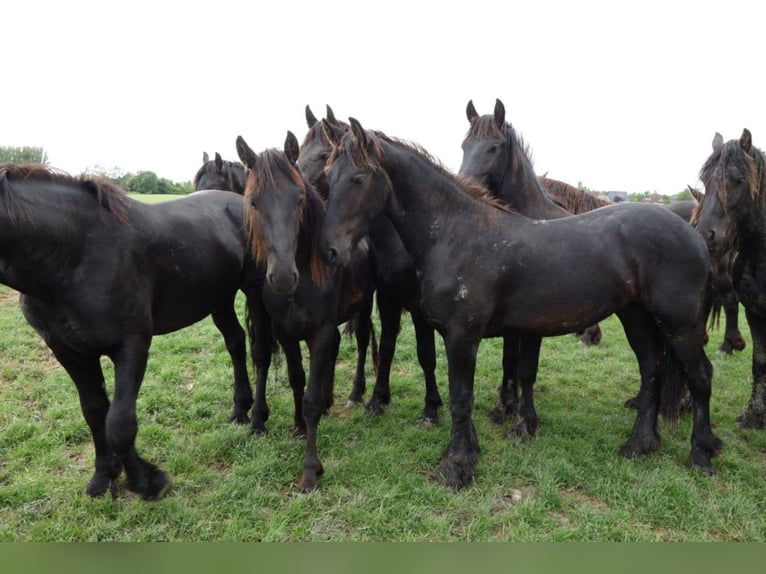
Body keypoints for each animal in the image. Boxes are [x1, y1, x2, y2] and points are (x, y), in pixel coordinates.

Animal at [0, 165, 260, 500]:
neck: (76, 254)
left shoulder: (131, 345)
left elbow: (119, 423)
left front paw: (147, 481)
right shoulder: (70, 353)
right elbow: (95, 412)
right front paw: (103, 476)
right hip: (219, 299)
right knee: (235, 341)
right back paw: (240, 408)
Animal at [236, 133, 376, 492]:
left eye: (299, 199)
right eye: (253, 202)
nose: (284, 277)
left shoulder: (319, 330)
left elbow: (310, 397)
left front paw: (311, 470)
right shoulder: (286, 331)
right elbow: (297, 378)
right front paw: (299, 426)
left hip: (366, 305)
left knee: (363, 341)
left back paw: (354, 393)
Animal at [300, 107, 444, 424]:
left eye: (322, 156)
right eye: (300, 153)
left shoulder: (418, 306)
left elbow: (426, 354)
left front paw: (431, 406)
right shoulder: (389, 296)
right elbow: (388, 346)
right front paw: (377, 399)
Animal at [320, 117, 724, 490]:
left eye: (358, 178)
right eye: (329, 175)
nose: (331, 251)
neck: (456, 233)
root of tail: (695, 234)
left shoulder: (462, 336)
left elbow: (461, 398)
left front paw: (457, 466)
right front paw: (471, 450)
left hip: (680, 324)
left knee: (701, 376)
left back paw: (701, 452)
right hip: (636, 317)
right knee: (651, 370)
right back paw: (641, 444)